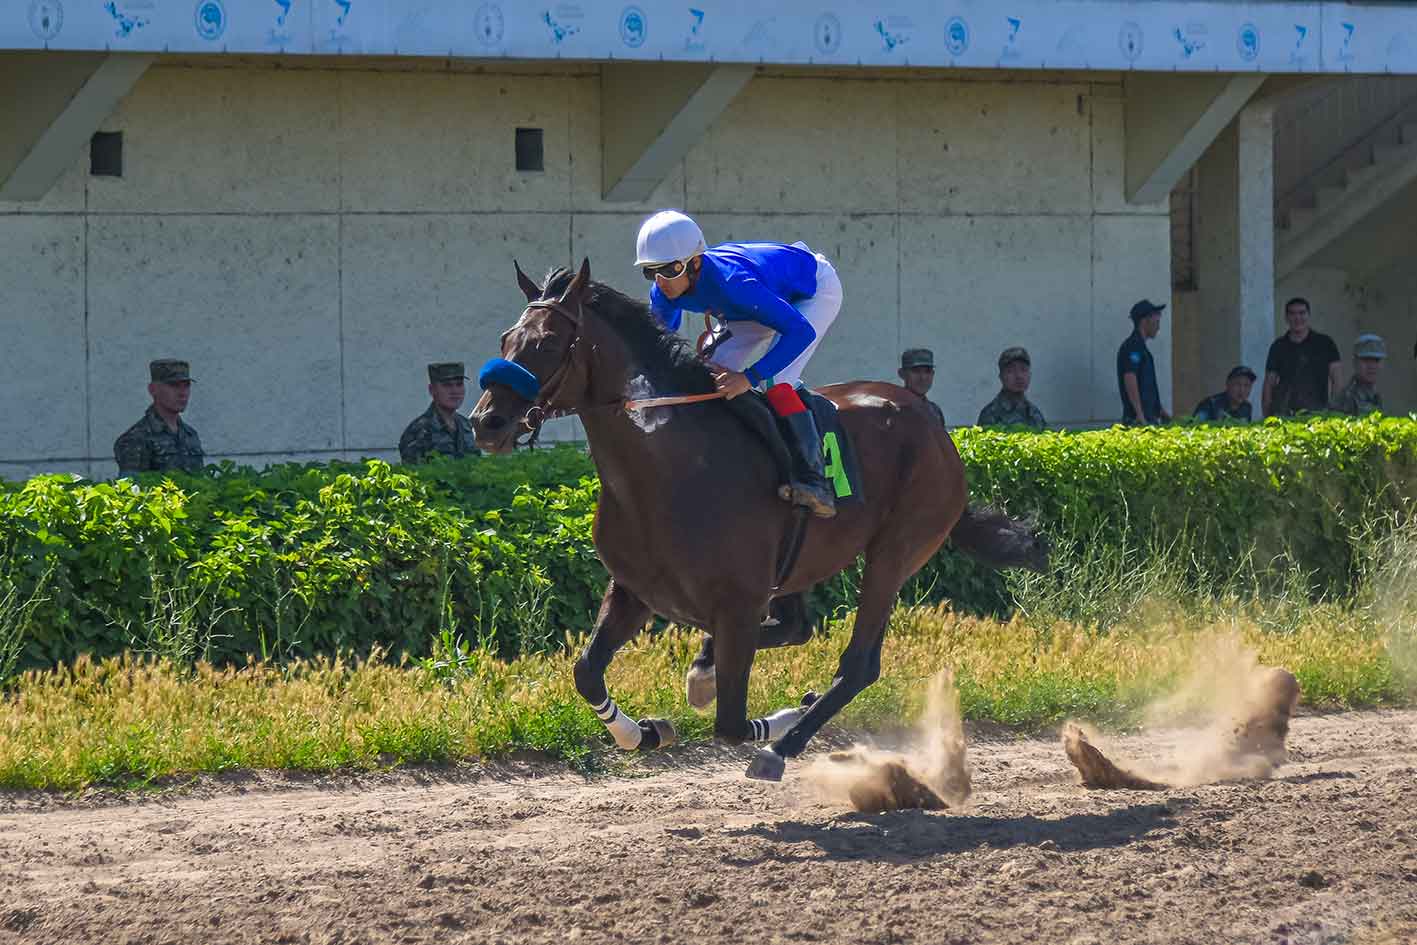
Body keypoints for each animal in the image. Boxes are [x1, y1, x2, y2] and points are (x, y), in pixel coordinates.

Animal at [471, 259, 1046, 781]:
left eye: (548, 341)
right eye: (505, 338)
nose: (485, 422)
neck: (667, 468)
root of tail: (933, 422)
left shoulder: (740, 604)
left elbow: (729, 724)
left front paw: (772, 720)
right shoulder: (636, 590)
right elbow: (586, 672)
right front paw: (647, 731)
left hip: (896, 550)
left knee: (858, 663)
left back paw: (781, 745)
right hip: (800, 561)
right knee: (797, 628)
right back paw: (714, 674)